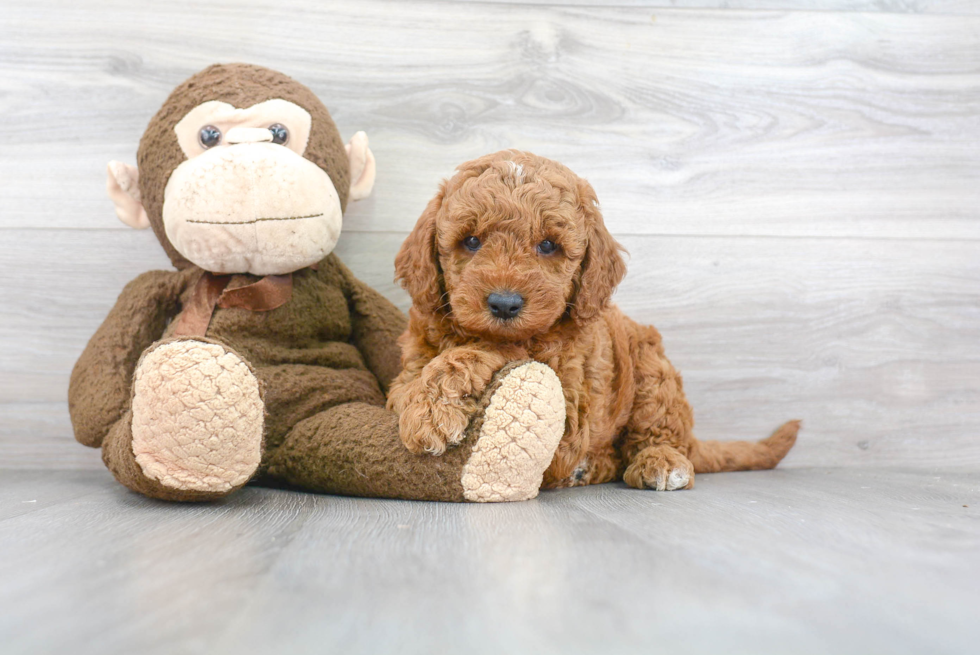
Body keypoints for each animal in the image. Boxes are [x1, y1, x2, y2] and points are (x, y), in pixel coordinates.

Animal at [386, 152, 800, 492]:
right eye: (471, 241)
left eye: (547, 246)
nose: (504, 304)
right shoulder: (411, 364)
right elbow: (413, 383)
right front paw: (426, 404)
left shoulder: (570, 403)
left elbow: (494, 347)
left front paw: (432, 411)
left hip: (652, 373)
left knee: (658, 431)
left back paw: (661, 462)